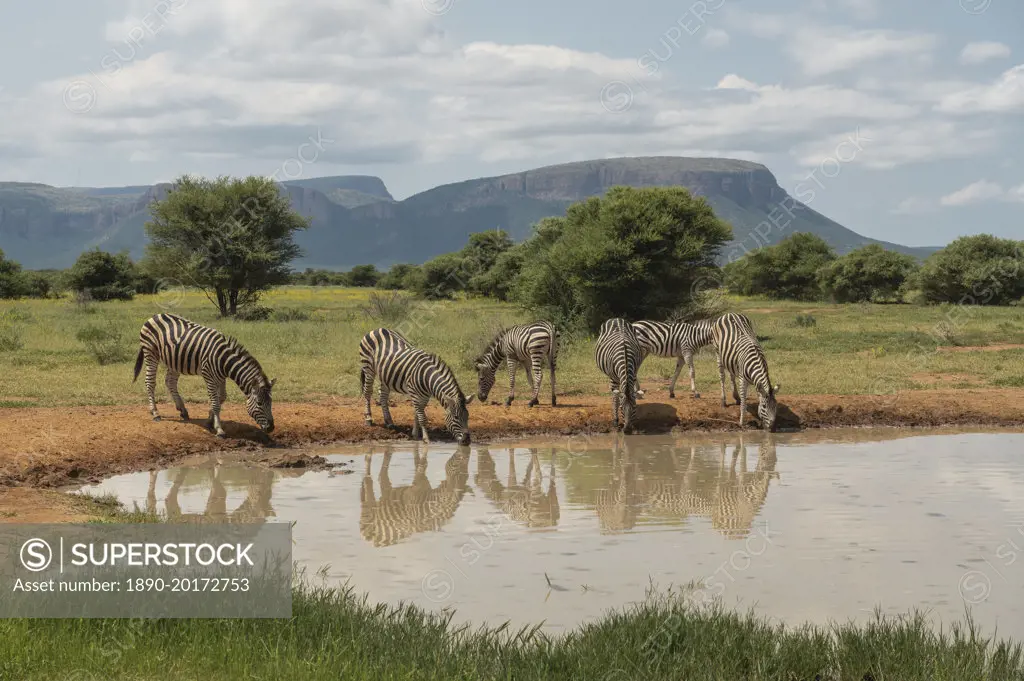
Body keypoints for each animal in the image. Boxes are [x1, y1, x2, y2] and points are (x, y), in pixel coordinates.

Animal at [132, 311, 276, 436]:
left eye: (271, 402)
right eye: (259, 403)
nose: (271, 428)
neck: (224, 360)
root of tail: (155, 315)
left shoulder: (221, 377)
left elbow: (221, 397)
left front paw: (210, 421)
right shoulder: (208, 376)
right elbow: (215, 402)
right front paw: (219, 429)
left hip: (174, 361)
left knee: (170, 382)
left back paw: (183, 410)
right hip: (151, 353)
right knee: (150, 382)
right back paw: (155, 412)